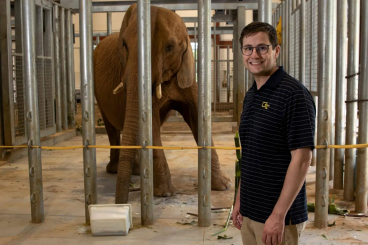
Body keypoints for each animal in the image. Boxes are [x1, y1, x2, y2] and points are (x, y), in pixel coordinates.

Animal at [93, 3, 231, 204]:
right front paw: (165, 193)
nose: (120, 203)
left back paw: (136, 171)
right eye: (124, 45)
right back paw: (116, 170)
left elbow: (197, 118)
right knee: (112, 127)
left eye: (169, 47)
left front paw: (224, 186)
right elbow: (151, 125)